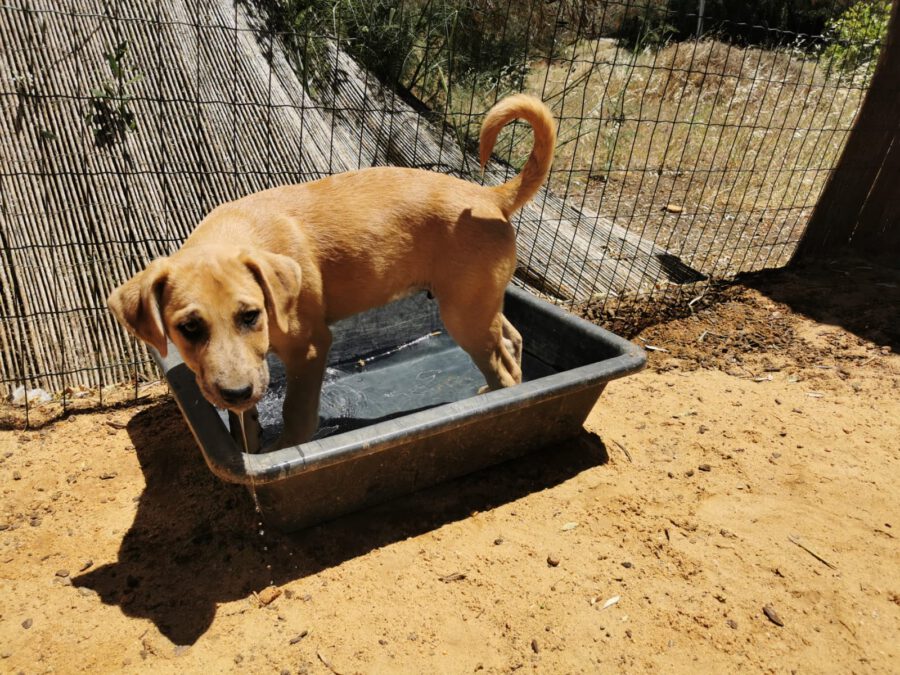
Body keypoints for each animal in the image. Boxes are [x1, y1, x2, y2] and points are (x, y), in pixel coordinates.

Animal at [108, 94, 556, 448]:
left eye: (250, 315)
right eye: (188, 328)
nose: (236, 392)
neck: (237, 231)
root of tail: (490, 197)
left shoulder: (310, 348)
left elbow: (296, 413)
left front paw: (283, 450)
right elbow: (245, 422)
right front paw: (250, 444)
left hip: (463, 313)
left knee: (503, 369)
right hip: (478, 300)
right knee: (512, 341)